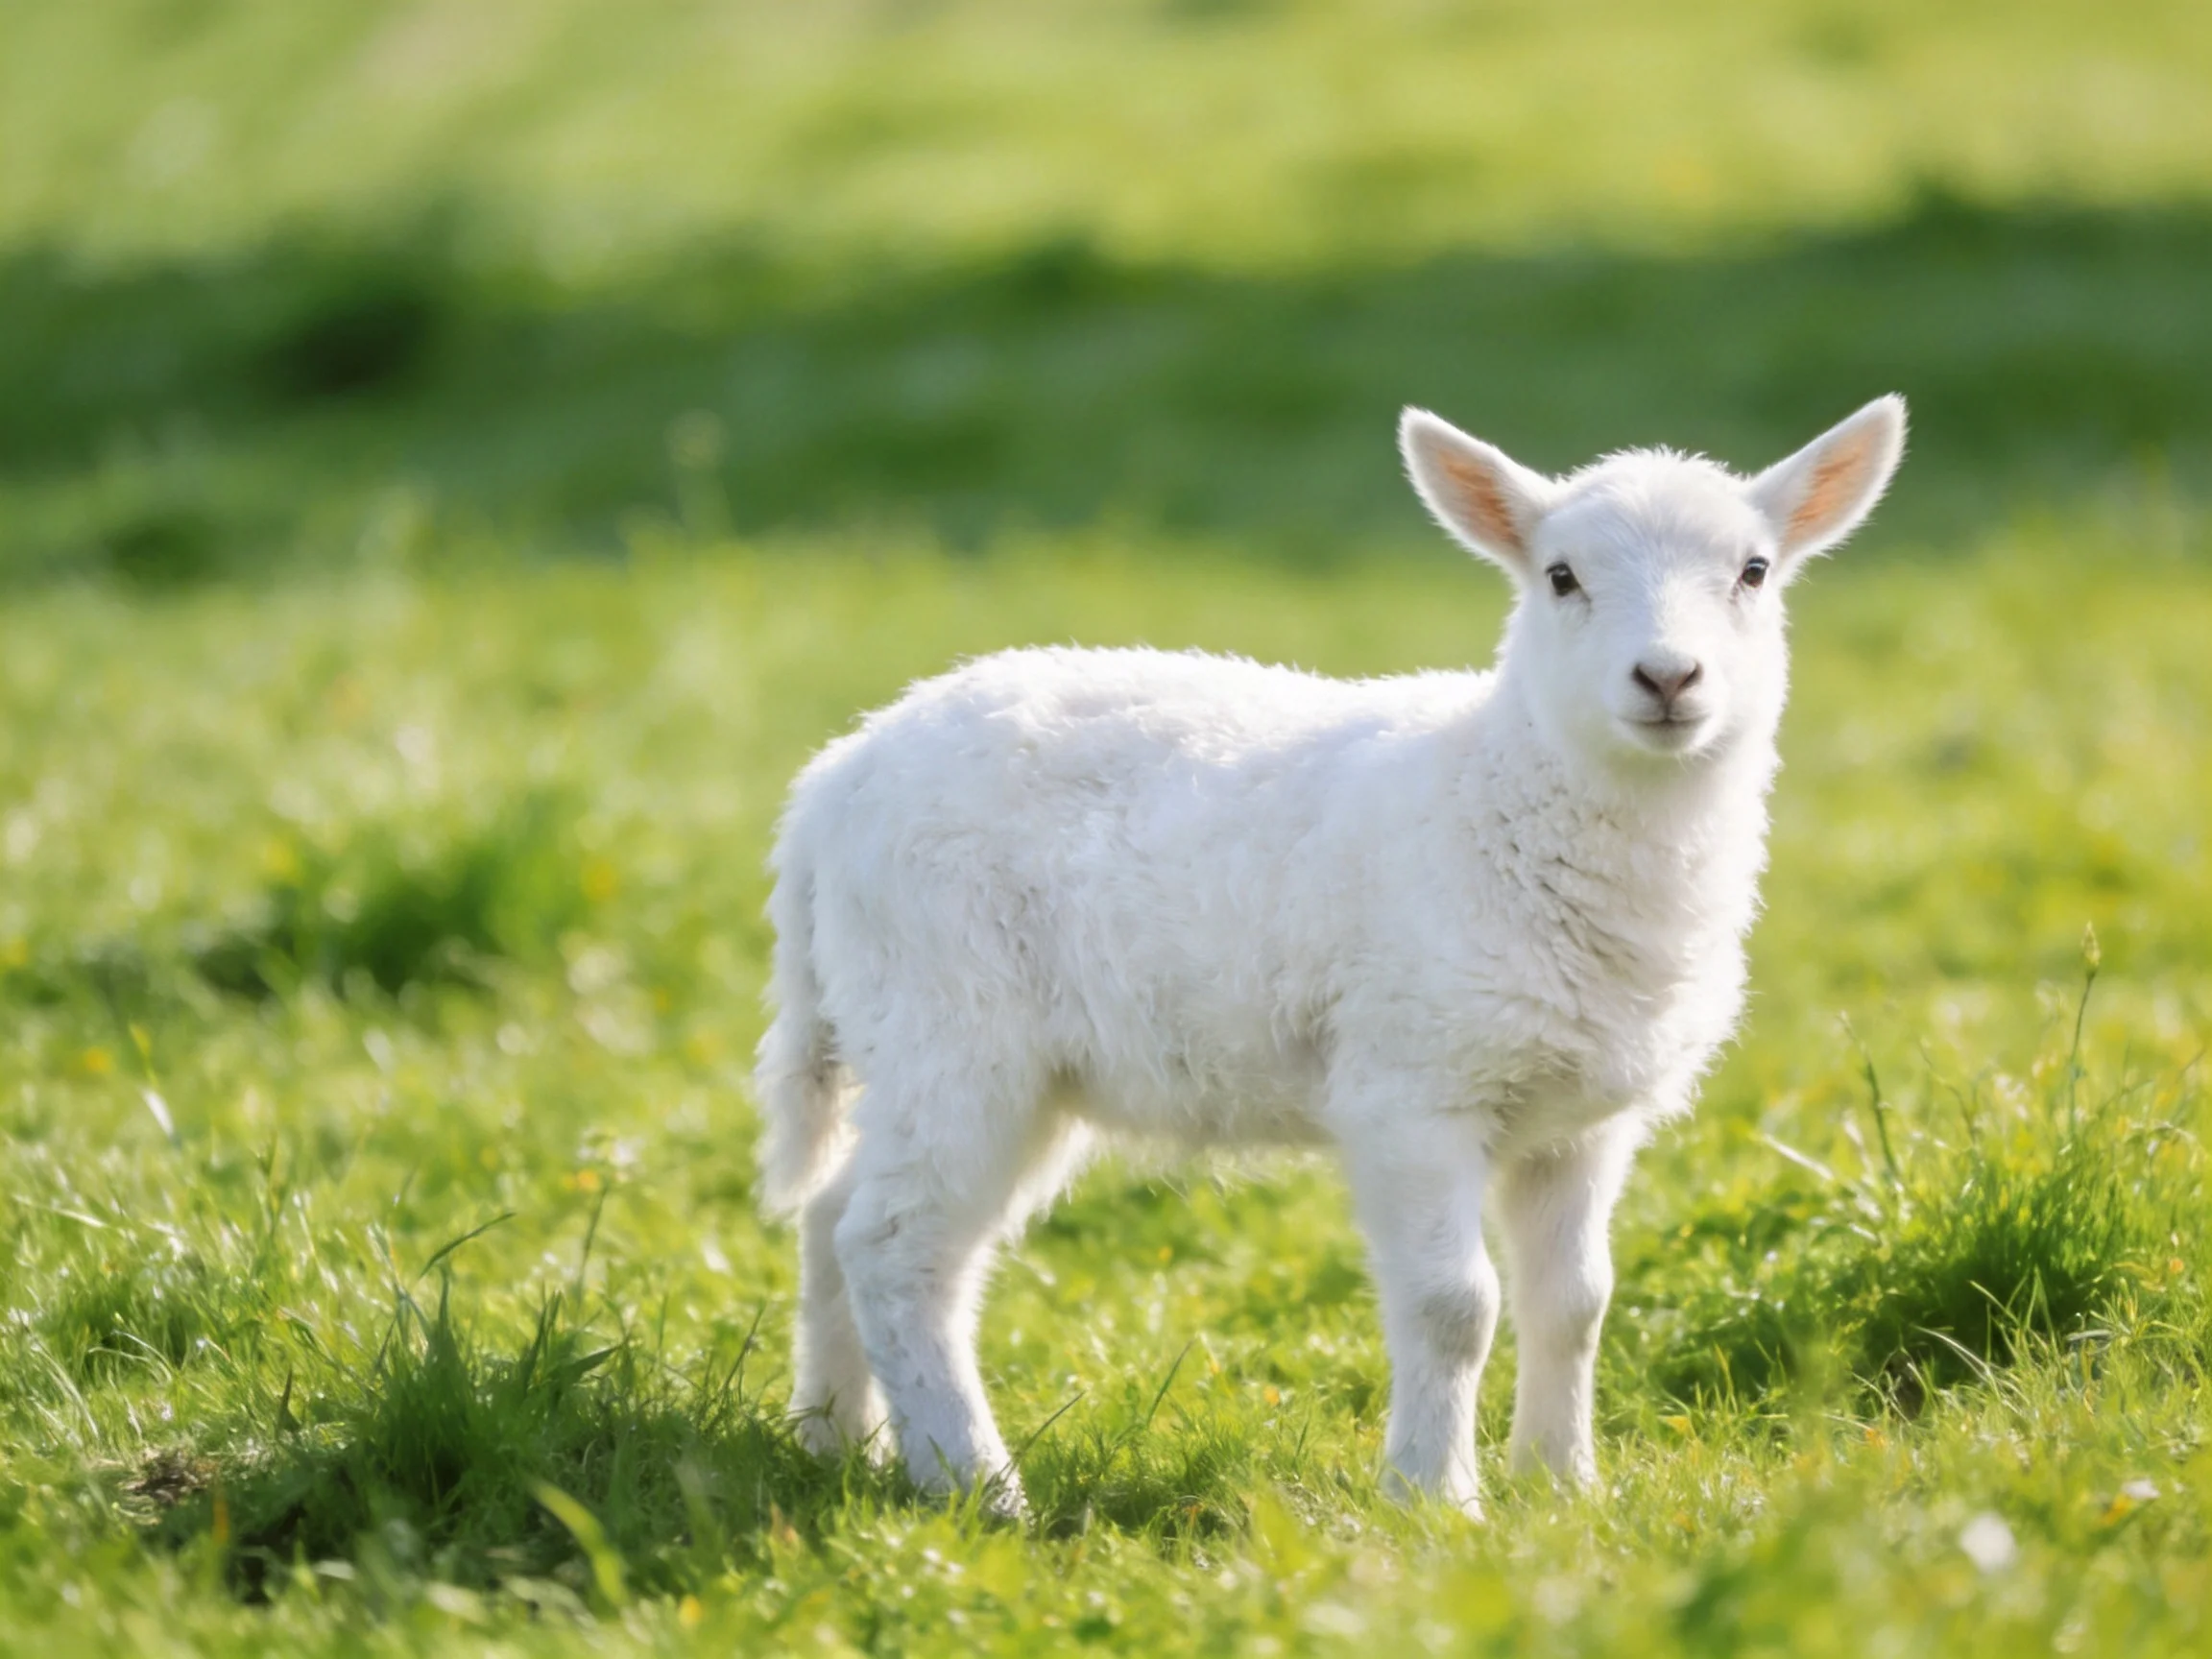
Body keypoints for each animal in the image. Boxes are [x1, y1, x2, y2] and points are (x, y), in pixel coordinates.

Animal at [753, 395, 1907, 1516]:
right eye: (1561, 576)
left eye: (1754, 571)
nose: (1668, 677)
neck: (1499, 790)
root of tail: (831, 781)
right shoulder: (1411, 1087)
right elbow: (1455, 1307)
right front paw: (1435, 1500)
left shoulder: (1579, 1118)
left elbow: (1575, 1302)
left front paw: (1563, 1486)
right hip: (954, 1021)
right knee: (897, 1247)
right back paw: (976, 1486)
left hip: (943, 1045)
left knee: (835, 1214)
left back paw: (837, 1439)